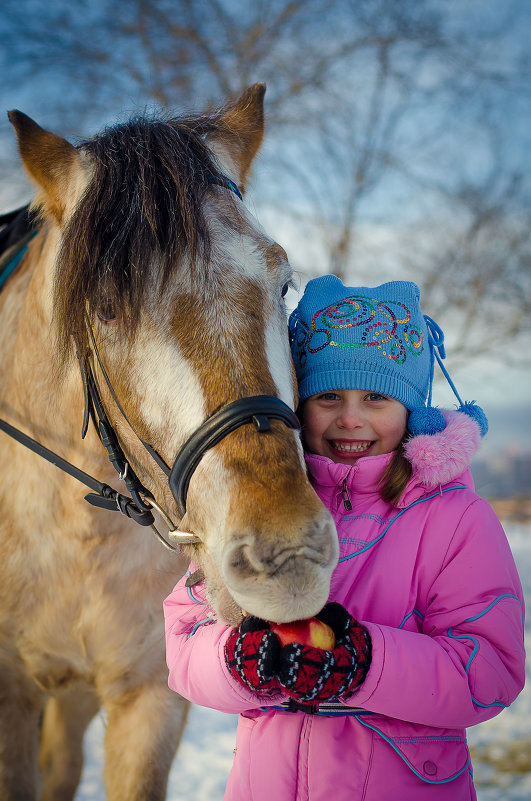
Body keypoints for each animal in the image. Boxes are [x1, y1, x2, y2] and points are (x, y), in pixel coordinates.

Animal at [0, 84, 338, 796]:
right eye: (103, 309)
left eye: (284, 282)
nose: (288, 557)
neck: (74, 535)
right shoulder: (9, 695)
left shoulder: (149, 699)